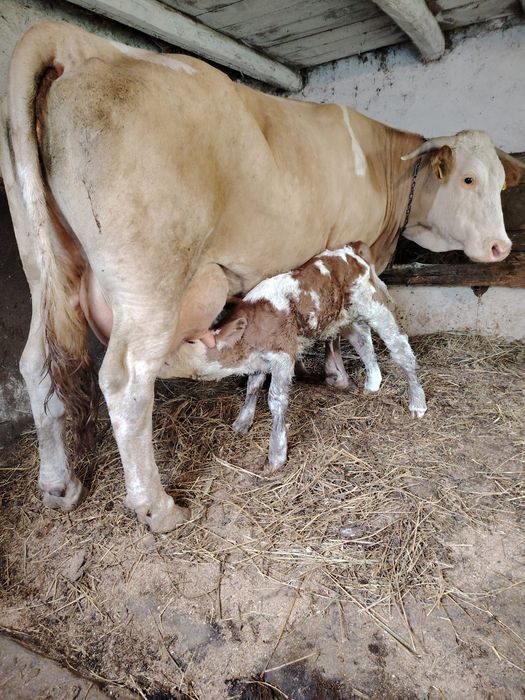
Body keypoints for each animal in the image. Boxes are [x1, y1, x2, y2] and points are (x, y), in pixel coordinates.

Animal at [178, 243, 427, 470]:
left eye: (189, 341)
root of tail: (348, 249)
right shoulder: (259, 360)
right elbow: (252, 387)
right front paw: (242, 422)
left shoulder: (283, 356)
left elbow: (276, 400)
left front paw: (277, 454)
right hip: (347, 315)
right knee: (363, 341)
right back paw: (373, 383)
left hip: (374, 305)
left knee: (400, 348)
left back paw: (417, 402)